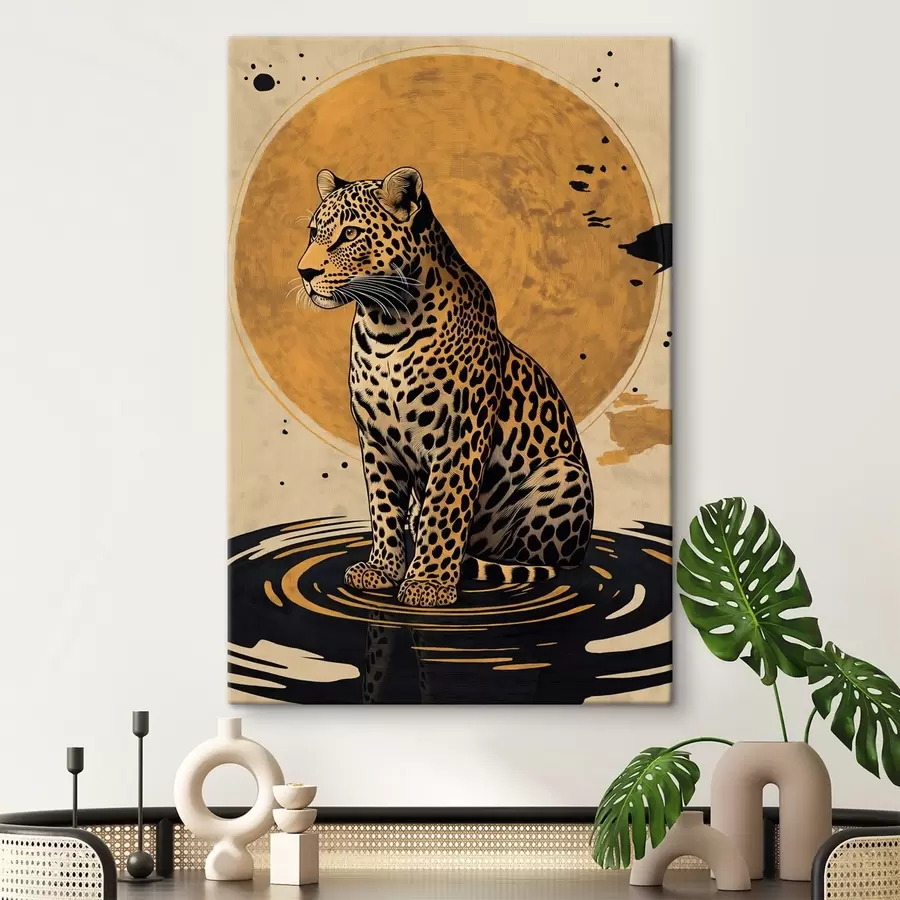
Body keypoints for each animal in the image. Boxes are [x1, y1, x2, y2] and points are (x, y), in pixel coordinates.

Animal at [297, 166, 594, 607]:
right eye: (314, 233)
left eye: (349, 234)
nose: (304, 273)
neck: (386, 324)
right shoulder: (376, 440)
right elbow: (383, 507)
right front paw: (383, 570)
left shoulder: (458, 437)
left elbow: (444, 509)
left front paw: (429, 583)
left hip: (565, 475)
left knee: (529, 558)